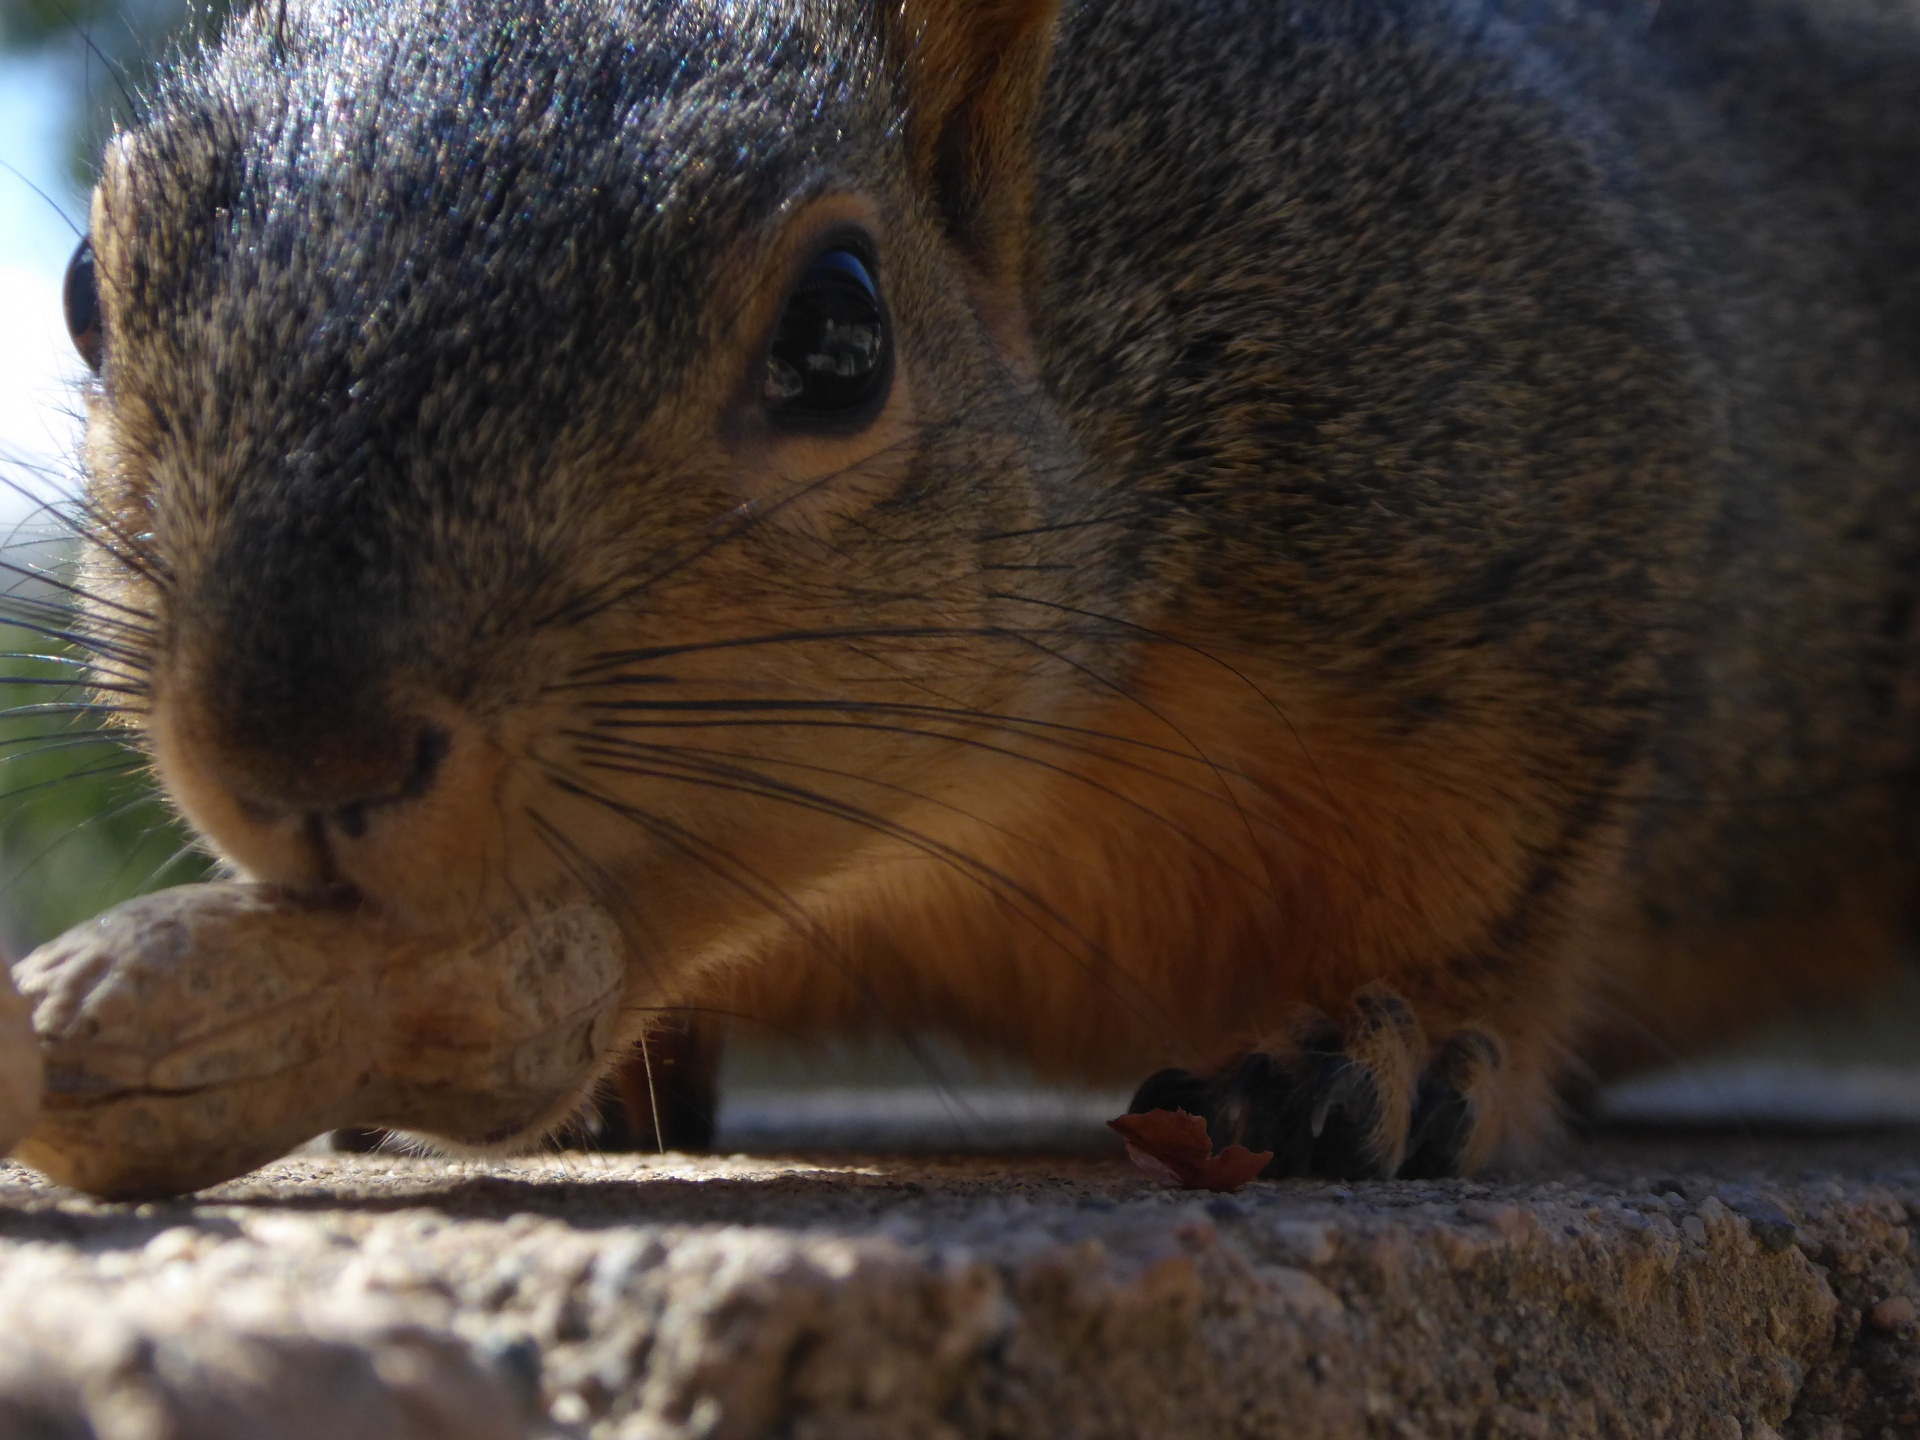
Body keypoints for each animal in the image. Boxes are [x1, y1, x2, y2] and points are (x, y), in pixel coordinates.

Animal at [45, 0, 1920, 1175]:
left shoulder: (1549, 486)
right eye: (81, 289)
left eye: (839, 336)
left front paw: (1397, 1055)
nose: (295, 748)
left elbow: (1506, 901)